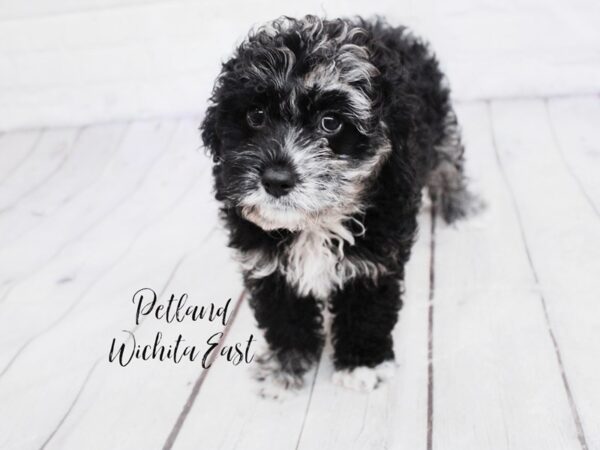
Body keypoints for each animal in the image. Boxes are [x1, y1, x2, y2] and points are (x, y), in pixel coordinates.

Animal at [202, 15, 478, 396]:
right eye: (255, 116)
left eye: (330, 123)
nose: (275, 179)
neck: (315, 223)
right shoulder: (269, 265)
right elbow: (284, 314)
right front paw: (285, 365)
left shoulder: (374, 260)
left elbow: (366, 311)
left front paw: (363, 365)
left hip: (440, 129)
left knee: (448, 163)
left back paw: (461, 207)